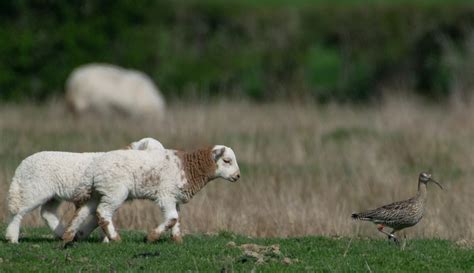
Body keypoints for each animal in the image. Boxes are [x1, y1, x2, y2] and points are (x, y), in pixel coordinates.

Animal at [4, 136, 165, 242]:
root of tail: (22, 164)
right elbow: (100, 216)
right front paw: (106, 238)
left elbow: (97, 217)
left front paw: (99, 237)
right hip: (34, 189)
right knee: (18, 212)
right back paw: (12, 237)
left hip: (53, 195)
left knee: (47, 212)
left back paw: (61, 232)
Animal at [62, 146, 241, 243]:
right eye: (226, 161)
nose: (238, 176)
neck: (189, 168)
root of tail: (93, 168)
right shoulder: (165, 195)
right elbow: (172, 218)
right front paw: (151, 237)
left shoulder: (174, 198)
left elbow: (177, 219)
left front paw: (177, 240)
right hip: (114, 190)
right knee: (103, 213)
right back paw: (115, 239)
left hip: (98, 192)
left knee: (82, 212)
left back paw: (69, 236)